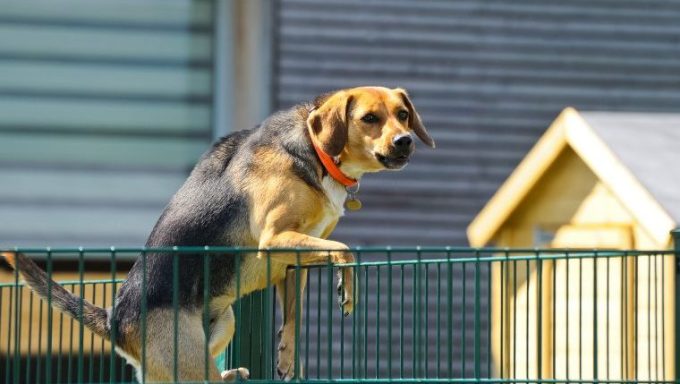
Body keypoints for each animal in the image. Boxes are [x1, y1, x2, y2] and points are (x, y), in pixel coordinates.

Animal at [1, 85, 436, 382]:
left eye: (403, 114)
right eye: (369, 119)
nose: (405, 141)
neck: (316, 150)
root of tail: (115, 319)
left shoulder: (292, 262)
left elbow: (293, 315)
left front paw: (287, 358)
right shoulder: (274, 239)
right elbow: (345, 249)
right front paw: (348, 291)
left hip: (223, 320)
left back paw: (231, 374)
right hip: (190, 357)